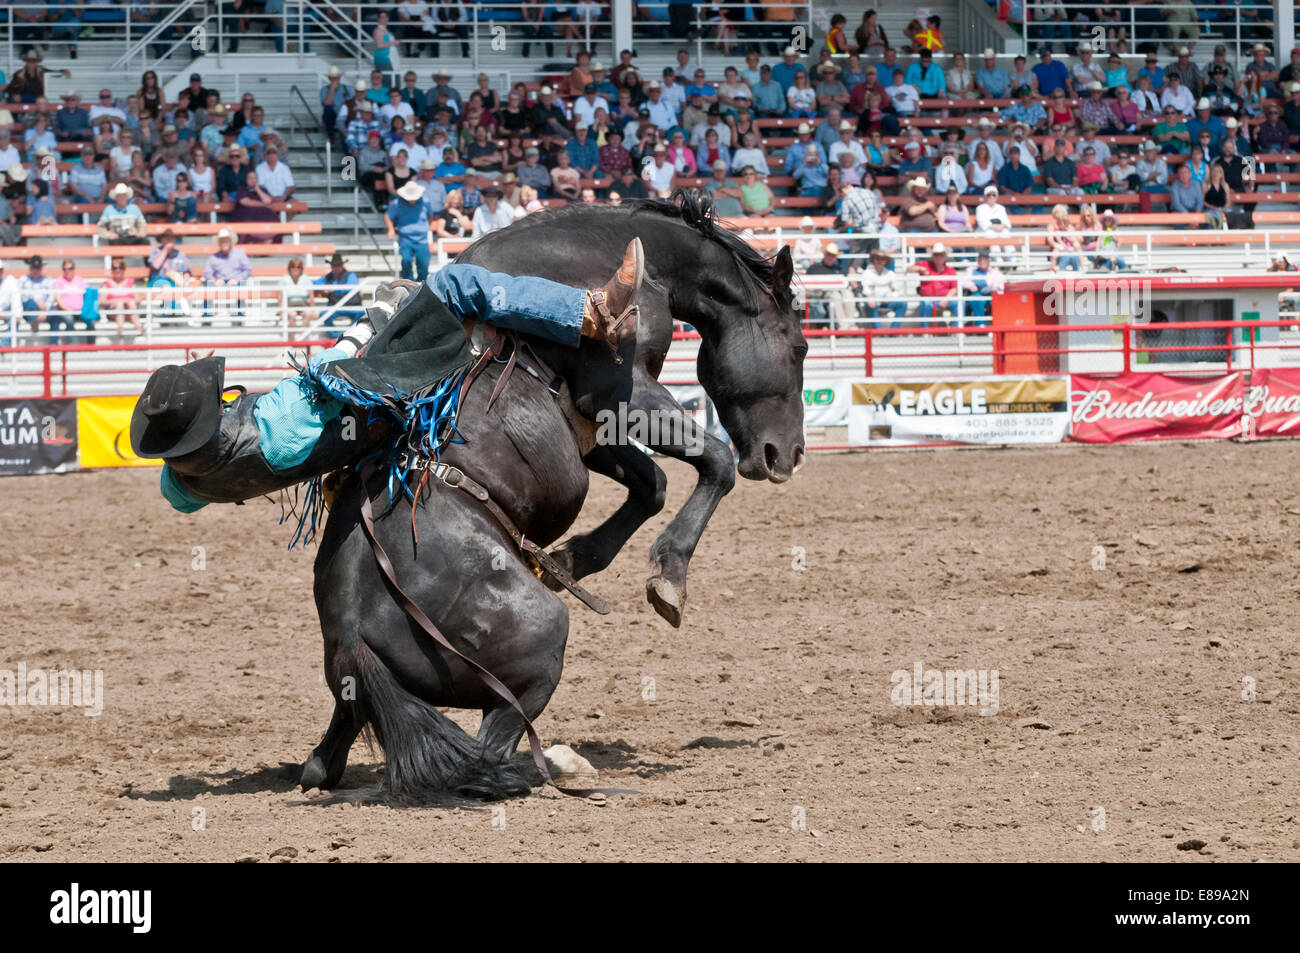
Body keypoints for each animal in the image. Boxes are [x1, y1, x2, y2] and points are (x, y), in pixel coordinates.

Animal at [296, 191, 806, 795]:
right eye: (799, 347)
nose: (786, 455)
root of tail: (356, 636)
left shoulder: (587, 426)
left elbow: (653, 484)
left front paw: (573, 559)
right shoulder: (621, 392)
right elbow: (716, 463)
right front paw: (670, 579)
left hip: (357, 700)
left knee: (325, 761)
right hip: (542, 640)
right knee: (487, 754)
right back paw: (561, 764)